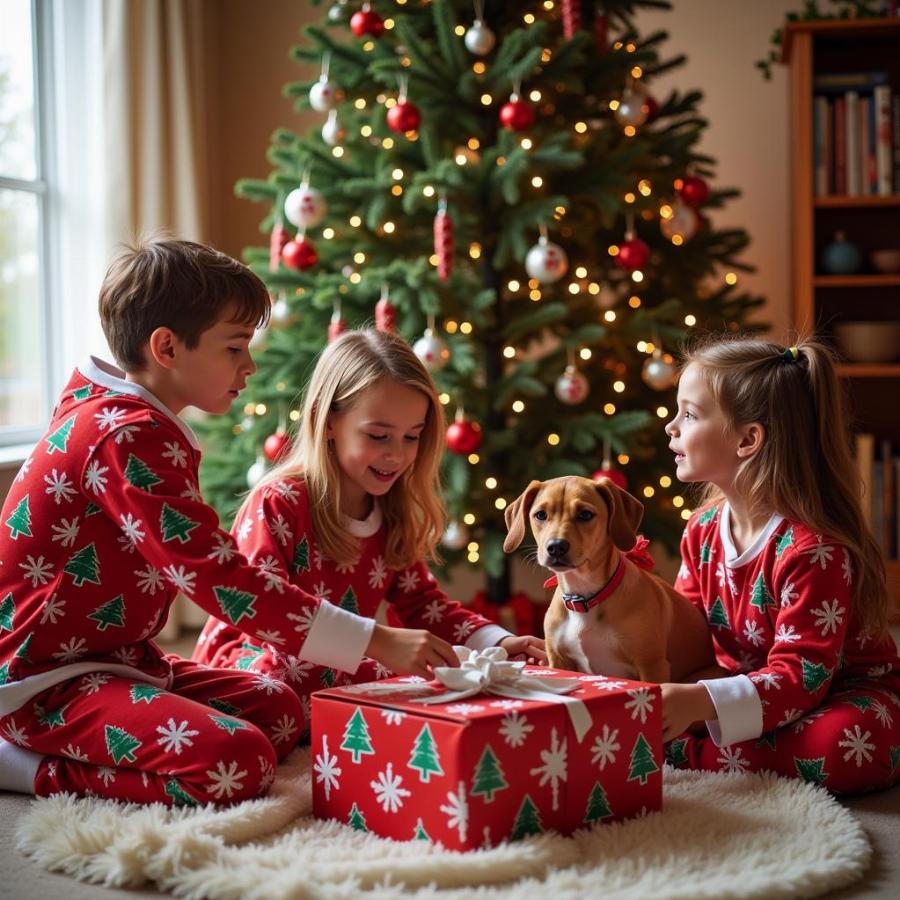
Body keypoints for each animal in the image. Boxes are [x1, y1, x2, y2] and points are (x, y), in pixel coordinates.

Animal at [506, 478, 716, 684]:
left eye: (585, 514)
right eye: (540, 515)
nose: (556, 547)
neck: (584, 597)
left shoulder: (652, 665)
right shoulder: (559, 660)